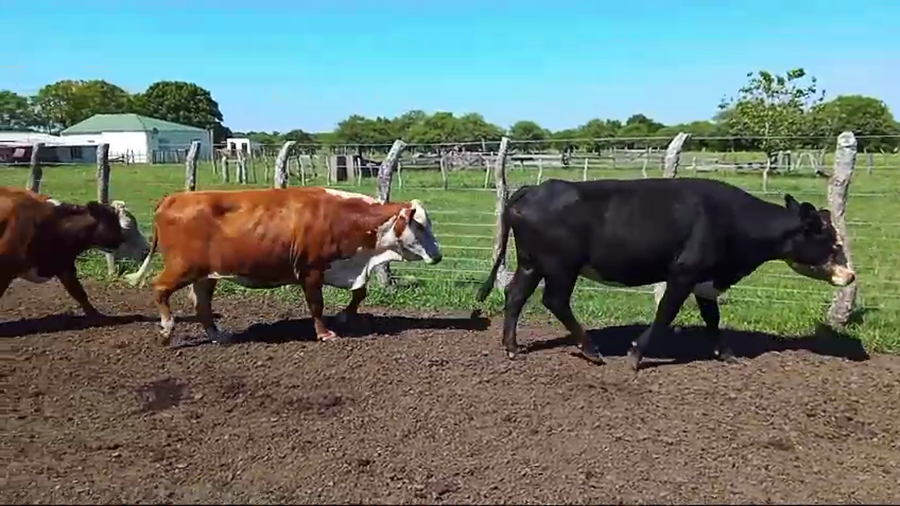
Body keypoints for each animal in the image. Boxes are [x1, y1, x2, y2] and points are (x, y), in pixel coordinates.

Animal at [0, 186, 150, 318]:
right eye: (127, 227)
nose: (147, 250)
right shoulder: (5, 270)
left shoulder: (64, 264)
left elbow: (78, 292)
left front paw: (96, 315)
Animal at [123, 186, 442, 346]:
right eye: (419, 225)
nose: (438, 256)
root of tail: (173, 198)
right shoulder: (310, 271)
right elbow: (317, 305)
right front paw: (324, 333)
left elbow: (359, 293)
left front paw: (344, 316)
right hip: (183, 268)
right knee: (160, 289)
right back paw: (167, 331)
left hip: (206, 274)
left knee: (201, 304)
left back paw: (218, 336)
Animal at [474, 177, 856, 371]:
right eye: (831, 241)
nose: (851, 275)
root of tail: (536, 188)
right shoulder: (683, 273)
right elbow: (665, 313)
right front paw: (636, 354)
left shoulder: (705, 280)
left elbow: (712, 317)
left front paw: (725, 353)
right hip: (561, 266)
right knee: (554, 300)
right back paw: (591, 349)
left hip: (531, 262)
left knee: (516, 295)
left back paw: (512, 347)